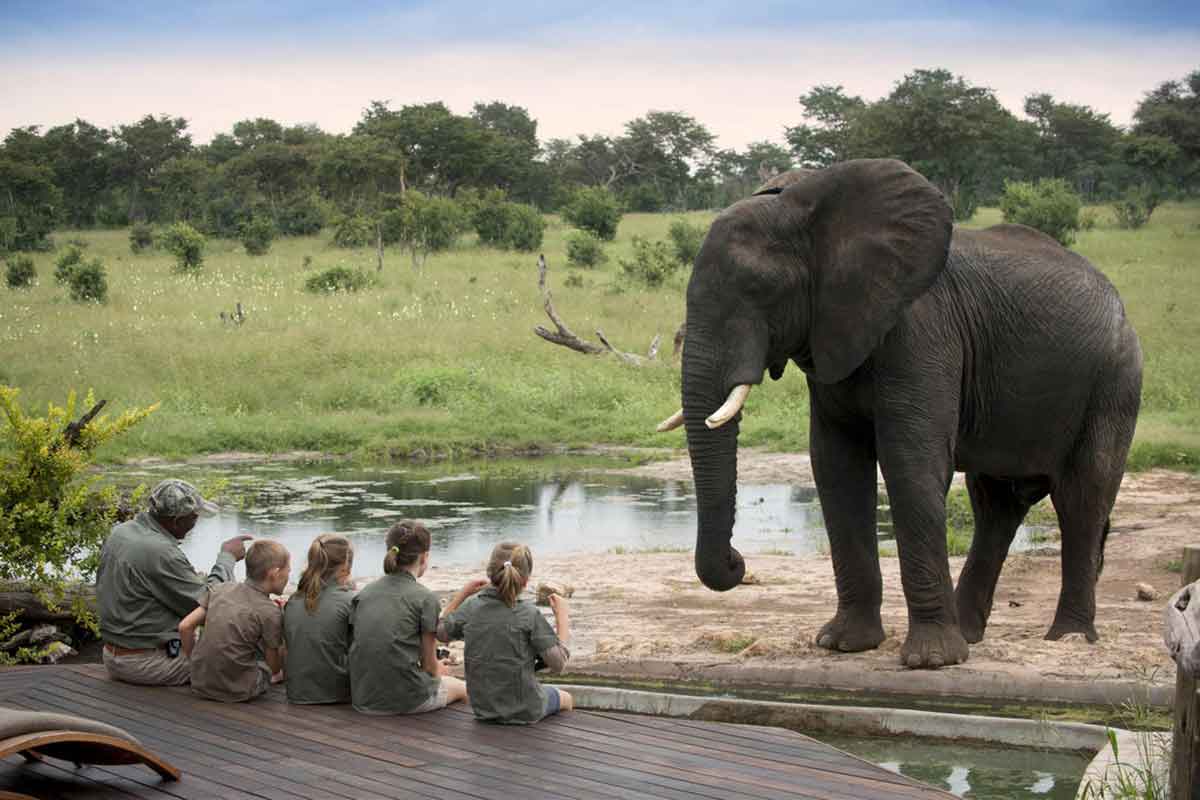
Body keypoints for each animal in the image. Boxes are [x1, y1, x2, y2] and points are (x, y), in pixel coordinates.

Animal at [657, 158, 1142, 671]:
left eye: (762, 290)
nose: (737, 562)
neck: (810, 209)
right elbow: (836, 466)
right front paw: (843, 644)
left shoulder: (921, 328)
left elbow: (910, 462)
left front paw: (931, 661)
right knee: (996, 505)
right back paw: (971, 635)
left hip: (1115, 381)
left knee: (1082, 498)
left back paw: (1068, 638)